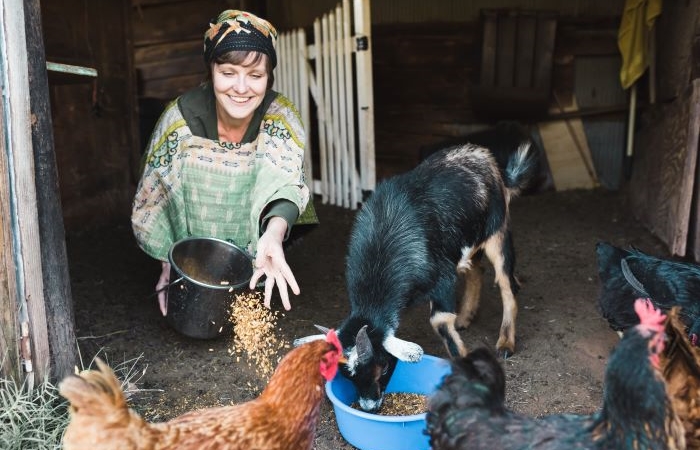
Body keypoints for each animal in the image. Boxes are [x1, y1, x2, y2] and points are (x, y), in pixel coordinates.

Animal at [296, 143, 536, 412]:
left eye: (384, 367)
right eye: (348, 376)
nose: (370, 407)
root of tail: (486, 158)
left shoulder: (442, 280)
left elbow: (440, 321)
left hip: (497, 232)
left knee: (507, 284)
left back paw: (505, 343)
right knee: (476, 270)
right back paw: (465, 317)